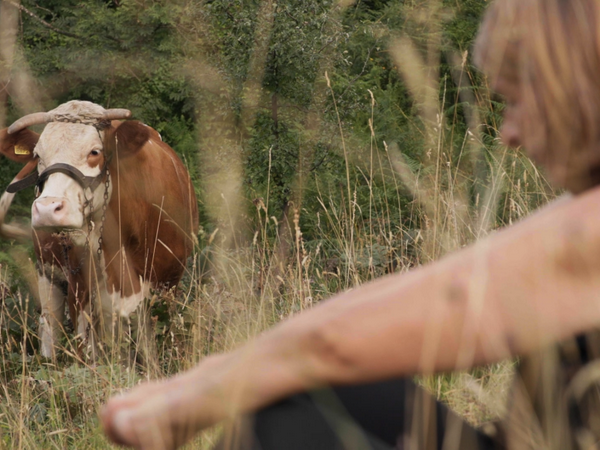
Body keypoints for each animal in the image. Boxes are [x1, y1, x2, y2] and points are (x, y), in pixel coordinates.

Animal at [0, 102, 199, 358]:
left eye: (94, 152)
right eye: (37, 155)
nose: (47, 208)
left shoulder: (163, 289)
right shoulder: (80, 291)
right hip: (48, 274)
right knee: (50, 329)